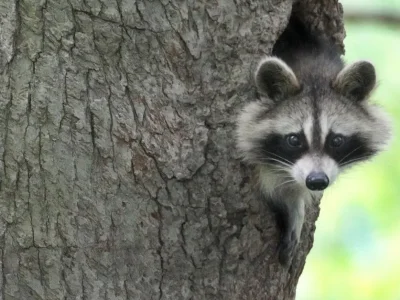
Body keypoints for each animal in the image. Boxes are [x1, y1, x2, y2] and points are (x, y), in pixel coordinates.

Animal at [236, 17, 392, 264]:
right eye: (294, 140)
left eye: (336, 140)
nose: (317, 181)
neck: (312, 69)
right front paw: (294, 202)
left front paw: (295, 203)